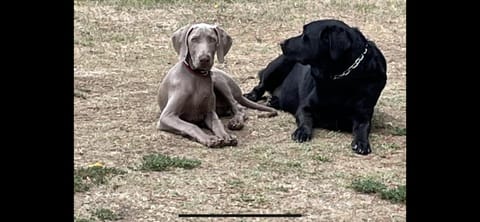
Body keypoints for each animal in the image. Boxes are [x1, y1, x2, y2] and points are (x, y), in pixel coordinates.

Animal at [246, 19, 388, 154]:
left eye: (305, 36)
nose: (282, 42)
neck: (341, 77)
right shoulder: (304, 107)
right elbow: (306, 120)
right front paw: (302, 132)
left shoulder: (363, 115)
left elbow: (362, 128)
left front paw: (362, 143)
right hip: (278, 65)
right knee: (261, 85)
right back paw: (252, 96)